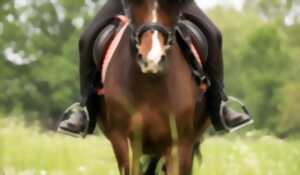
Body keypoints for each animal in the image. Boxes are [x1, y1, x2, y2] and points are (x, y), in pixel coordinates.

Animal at [94, 0, 211, 174]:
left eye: (170, 6)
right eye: (136, 5)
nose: (152, 60)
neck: (150, 87)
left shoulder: (178, 143)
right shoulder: (123, 139)